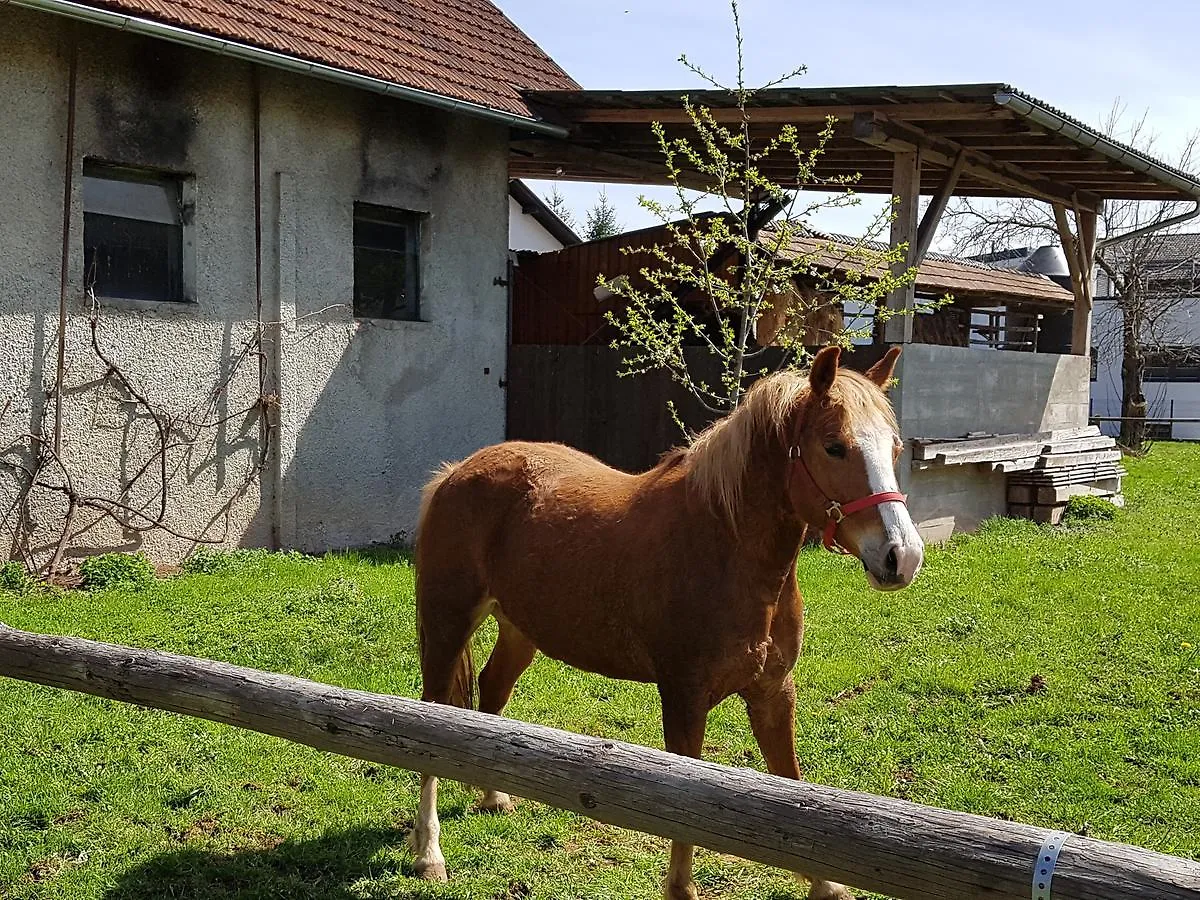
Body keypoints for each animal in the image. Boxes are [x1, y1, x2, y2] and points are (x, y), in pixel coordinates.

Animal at [408, 348, 921, 900]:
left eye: (894, 448)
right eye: (834, 447)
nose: (902, 556)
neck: (724, 548)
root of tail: (456, 472)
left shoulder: (773, 692)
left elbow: (791, 781)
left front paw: (825, 884)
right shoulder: (684, 696)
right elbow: (687, 797)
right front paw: (680, 888)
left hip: (520, 630)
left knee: (490, 694)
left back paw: (493, 796)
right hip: (446, 625)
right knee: (431, 720)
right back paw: (429, 853)